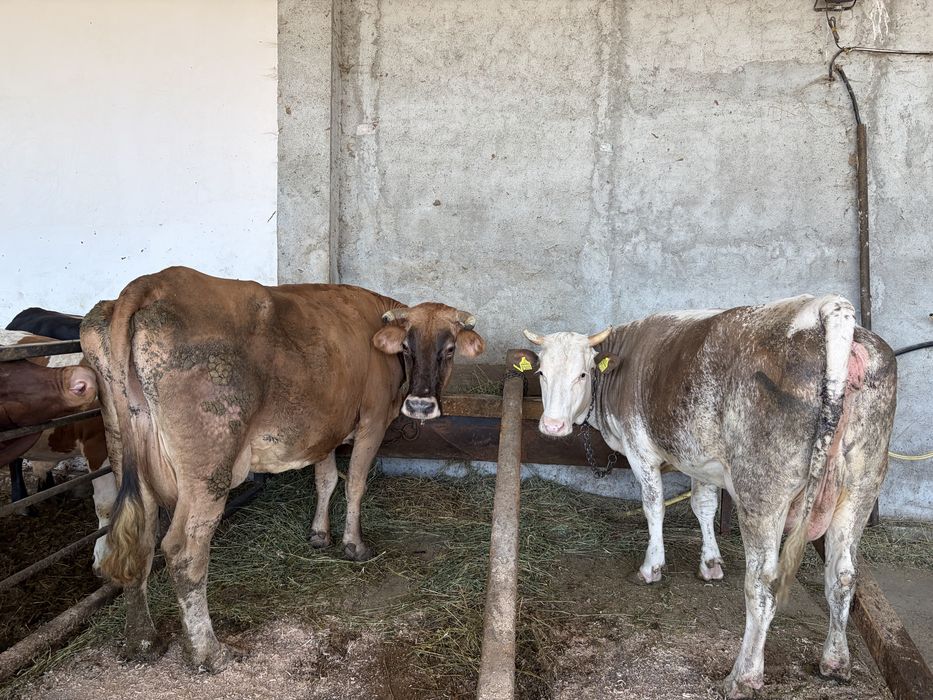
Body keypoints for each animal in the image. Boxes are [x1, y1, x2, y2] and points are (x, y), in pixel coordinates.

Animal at [81, 265, 485, 671]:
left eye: (449, 349)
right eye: (407, 348)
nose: (420, 405)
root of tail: (154, 282)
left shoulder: (325, 427)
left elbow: (326, 480)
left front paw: (319, 534)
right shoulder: (372, 420)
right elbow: (354, 482)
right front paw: (354, 545)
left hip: (122, 448)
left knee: (140, 540)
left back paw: (143, 642)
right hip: (209, 464)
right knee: (184, 550)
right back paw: (210, 653)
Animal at [518, 294, 896, 699]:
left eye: (583, 374)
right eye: (540, 374)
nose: (552, 426)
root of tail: (825, 308)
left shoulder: (640, 451)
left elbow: (653, 506)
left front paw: (652, 566)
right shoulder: (701, 459)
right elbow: (704, 505)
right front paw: (711, 563)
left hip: (762, 491)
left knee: (763, 586)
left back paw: (744, 676)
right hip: (861, 485)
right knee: (843, 576)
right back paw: (835, 661)